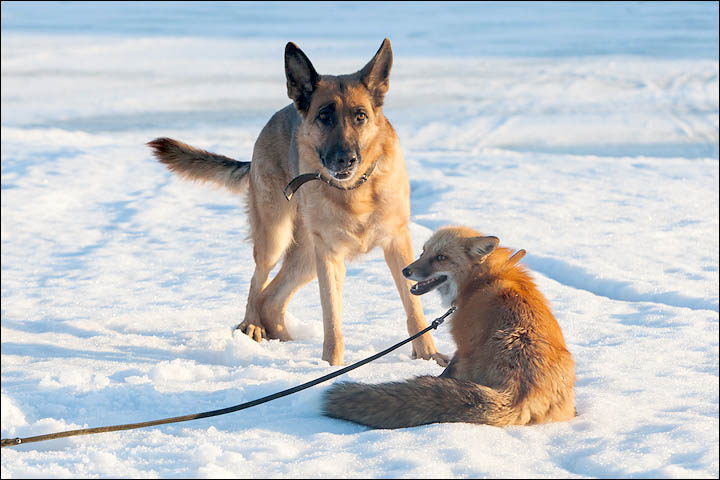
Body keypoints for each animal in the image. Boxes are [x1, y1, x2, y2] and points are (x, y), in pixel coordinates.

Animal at [149, 40, 448, 368]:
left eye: (360, 116)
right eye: (324, 116)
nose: (345, 159)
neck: (354, 191)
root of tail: (278, 116)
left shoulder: (397, 243)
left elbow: (413, 308)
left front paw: (427, 355)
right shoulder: (329, 256)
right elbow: (332, 320)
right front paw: (331, 366)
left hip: (305, 257)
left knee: (271, 298)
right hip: (276, 238)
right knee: (258, 282)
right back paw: (251, 325)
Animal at [324, 227, 576, 430]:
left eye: (441, 258)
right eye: (423, 252)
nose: (406, 271)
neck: (481, 278)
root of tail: (519, 393)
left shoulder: (462, 349)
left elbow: (445, 372)